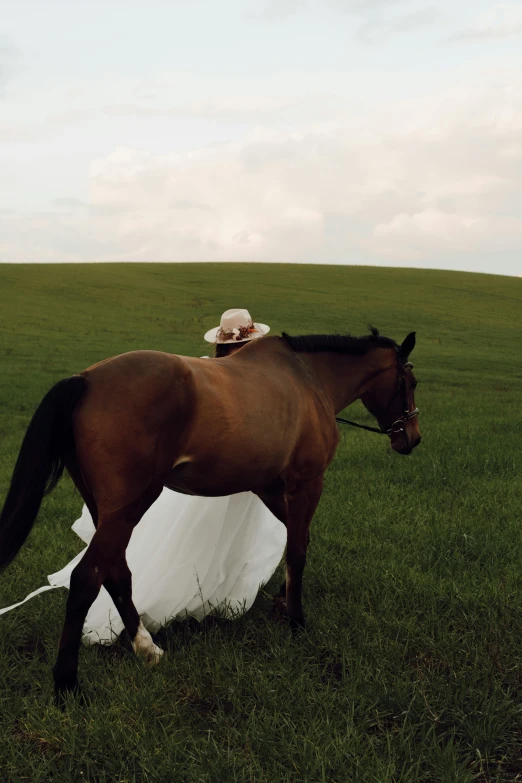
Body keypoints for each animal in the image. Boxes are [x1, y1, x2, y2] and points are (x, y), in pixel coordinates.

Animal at [0, 326, 416, 700]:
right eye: (411, 382)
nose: (412, 438)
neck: (308, 379)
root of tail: (85, 379)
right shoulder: (306, 482)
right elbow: (297, 549)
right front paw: (296, 622)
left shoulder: (267, 485)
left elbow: (294, 539)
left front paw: (283, 600)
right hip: (129, 507)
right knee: (87, 578)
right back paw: (66, 684)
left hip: (108, 510)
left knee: (116, 572)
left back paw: (146, 648)